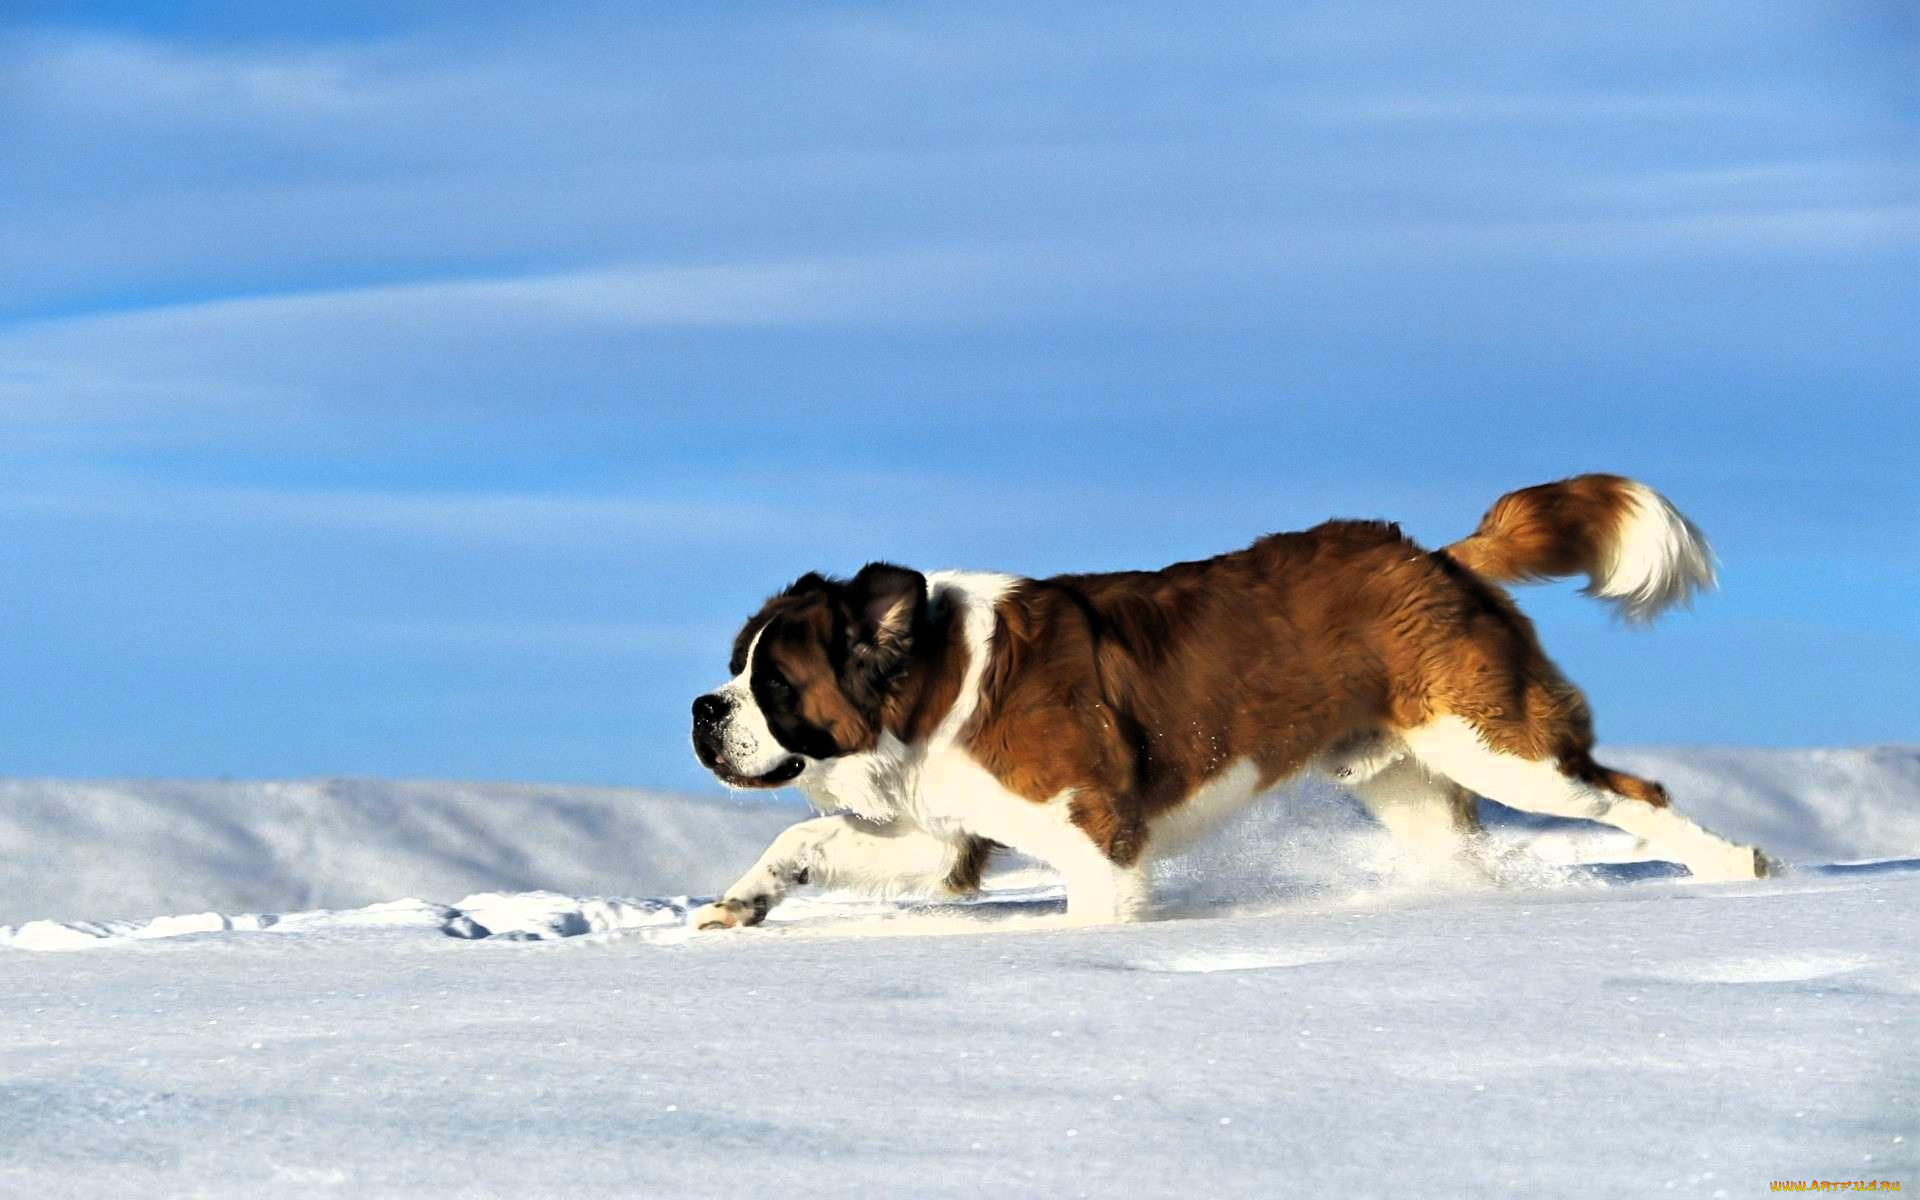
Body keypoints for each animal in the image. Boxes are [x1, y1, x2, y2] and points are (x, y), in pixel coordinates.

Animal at [683, 472, 1758, 933]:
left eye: (772, 685)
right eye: (735, 669)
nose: (702, 708)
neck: (936, 683)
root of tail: (1434, 556)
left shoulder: (1099, 839)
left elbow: (1091, 911)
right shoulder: (947, 835)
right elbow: (809, 840)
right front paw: (745, 900)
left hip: (1498, 745)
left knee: (1634, 796)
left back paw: (1740, 868)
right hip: (1412, 784)